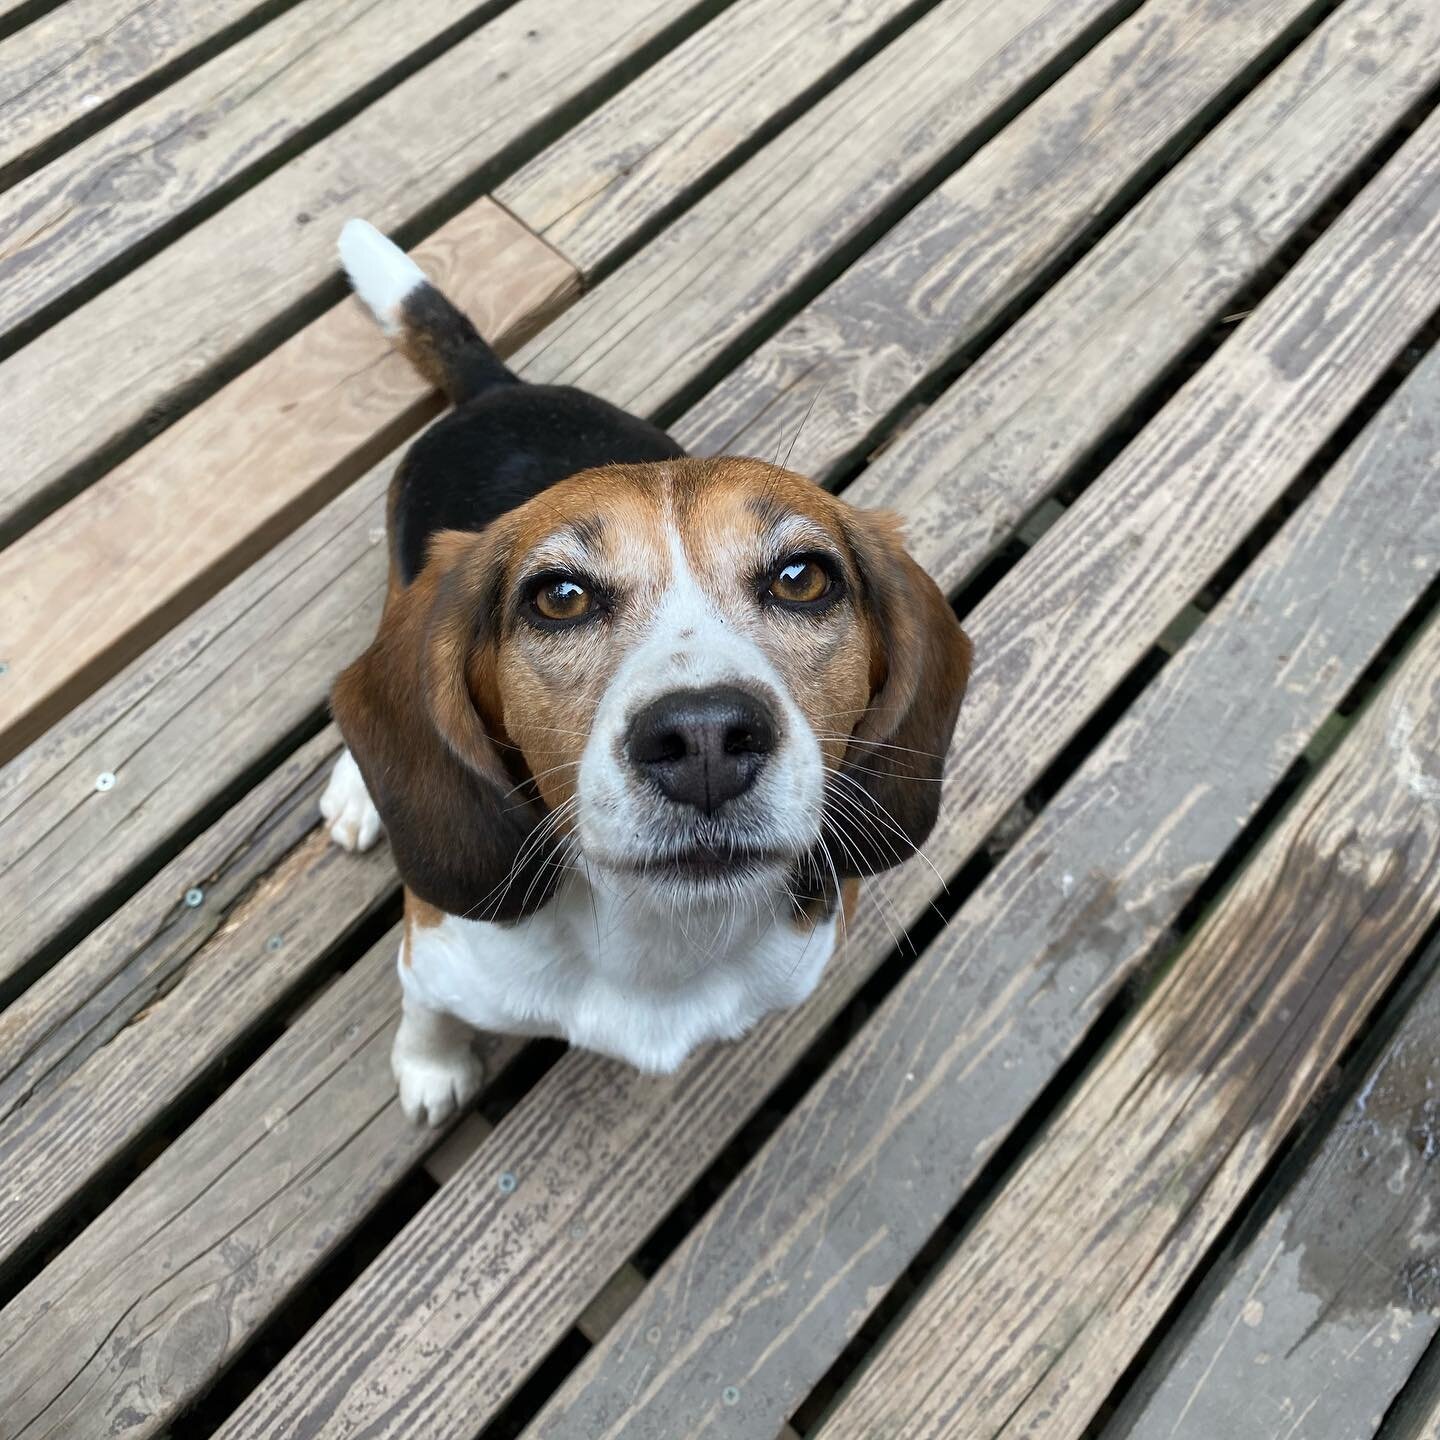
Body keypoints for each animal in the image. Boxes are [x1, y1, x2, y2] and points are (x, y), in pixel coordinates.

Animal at [316, 221, 967, 1123]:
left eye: (803, 578)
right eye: (559, 597)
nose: (704, 738)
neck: (656, 938)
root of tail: (498, 391)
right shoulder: (439, 952)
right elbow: (428, 1011)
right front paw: (431, 1068)